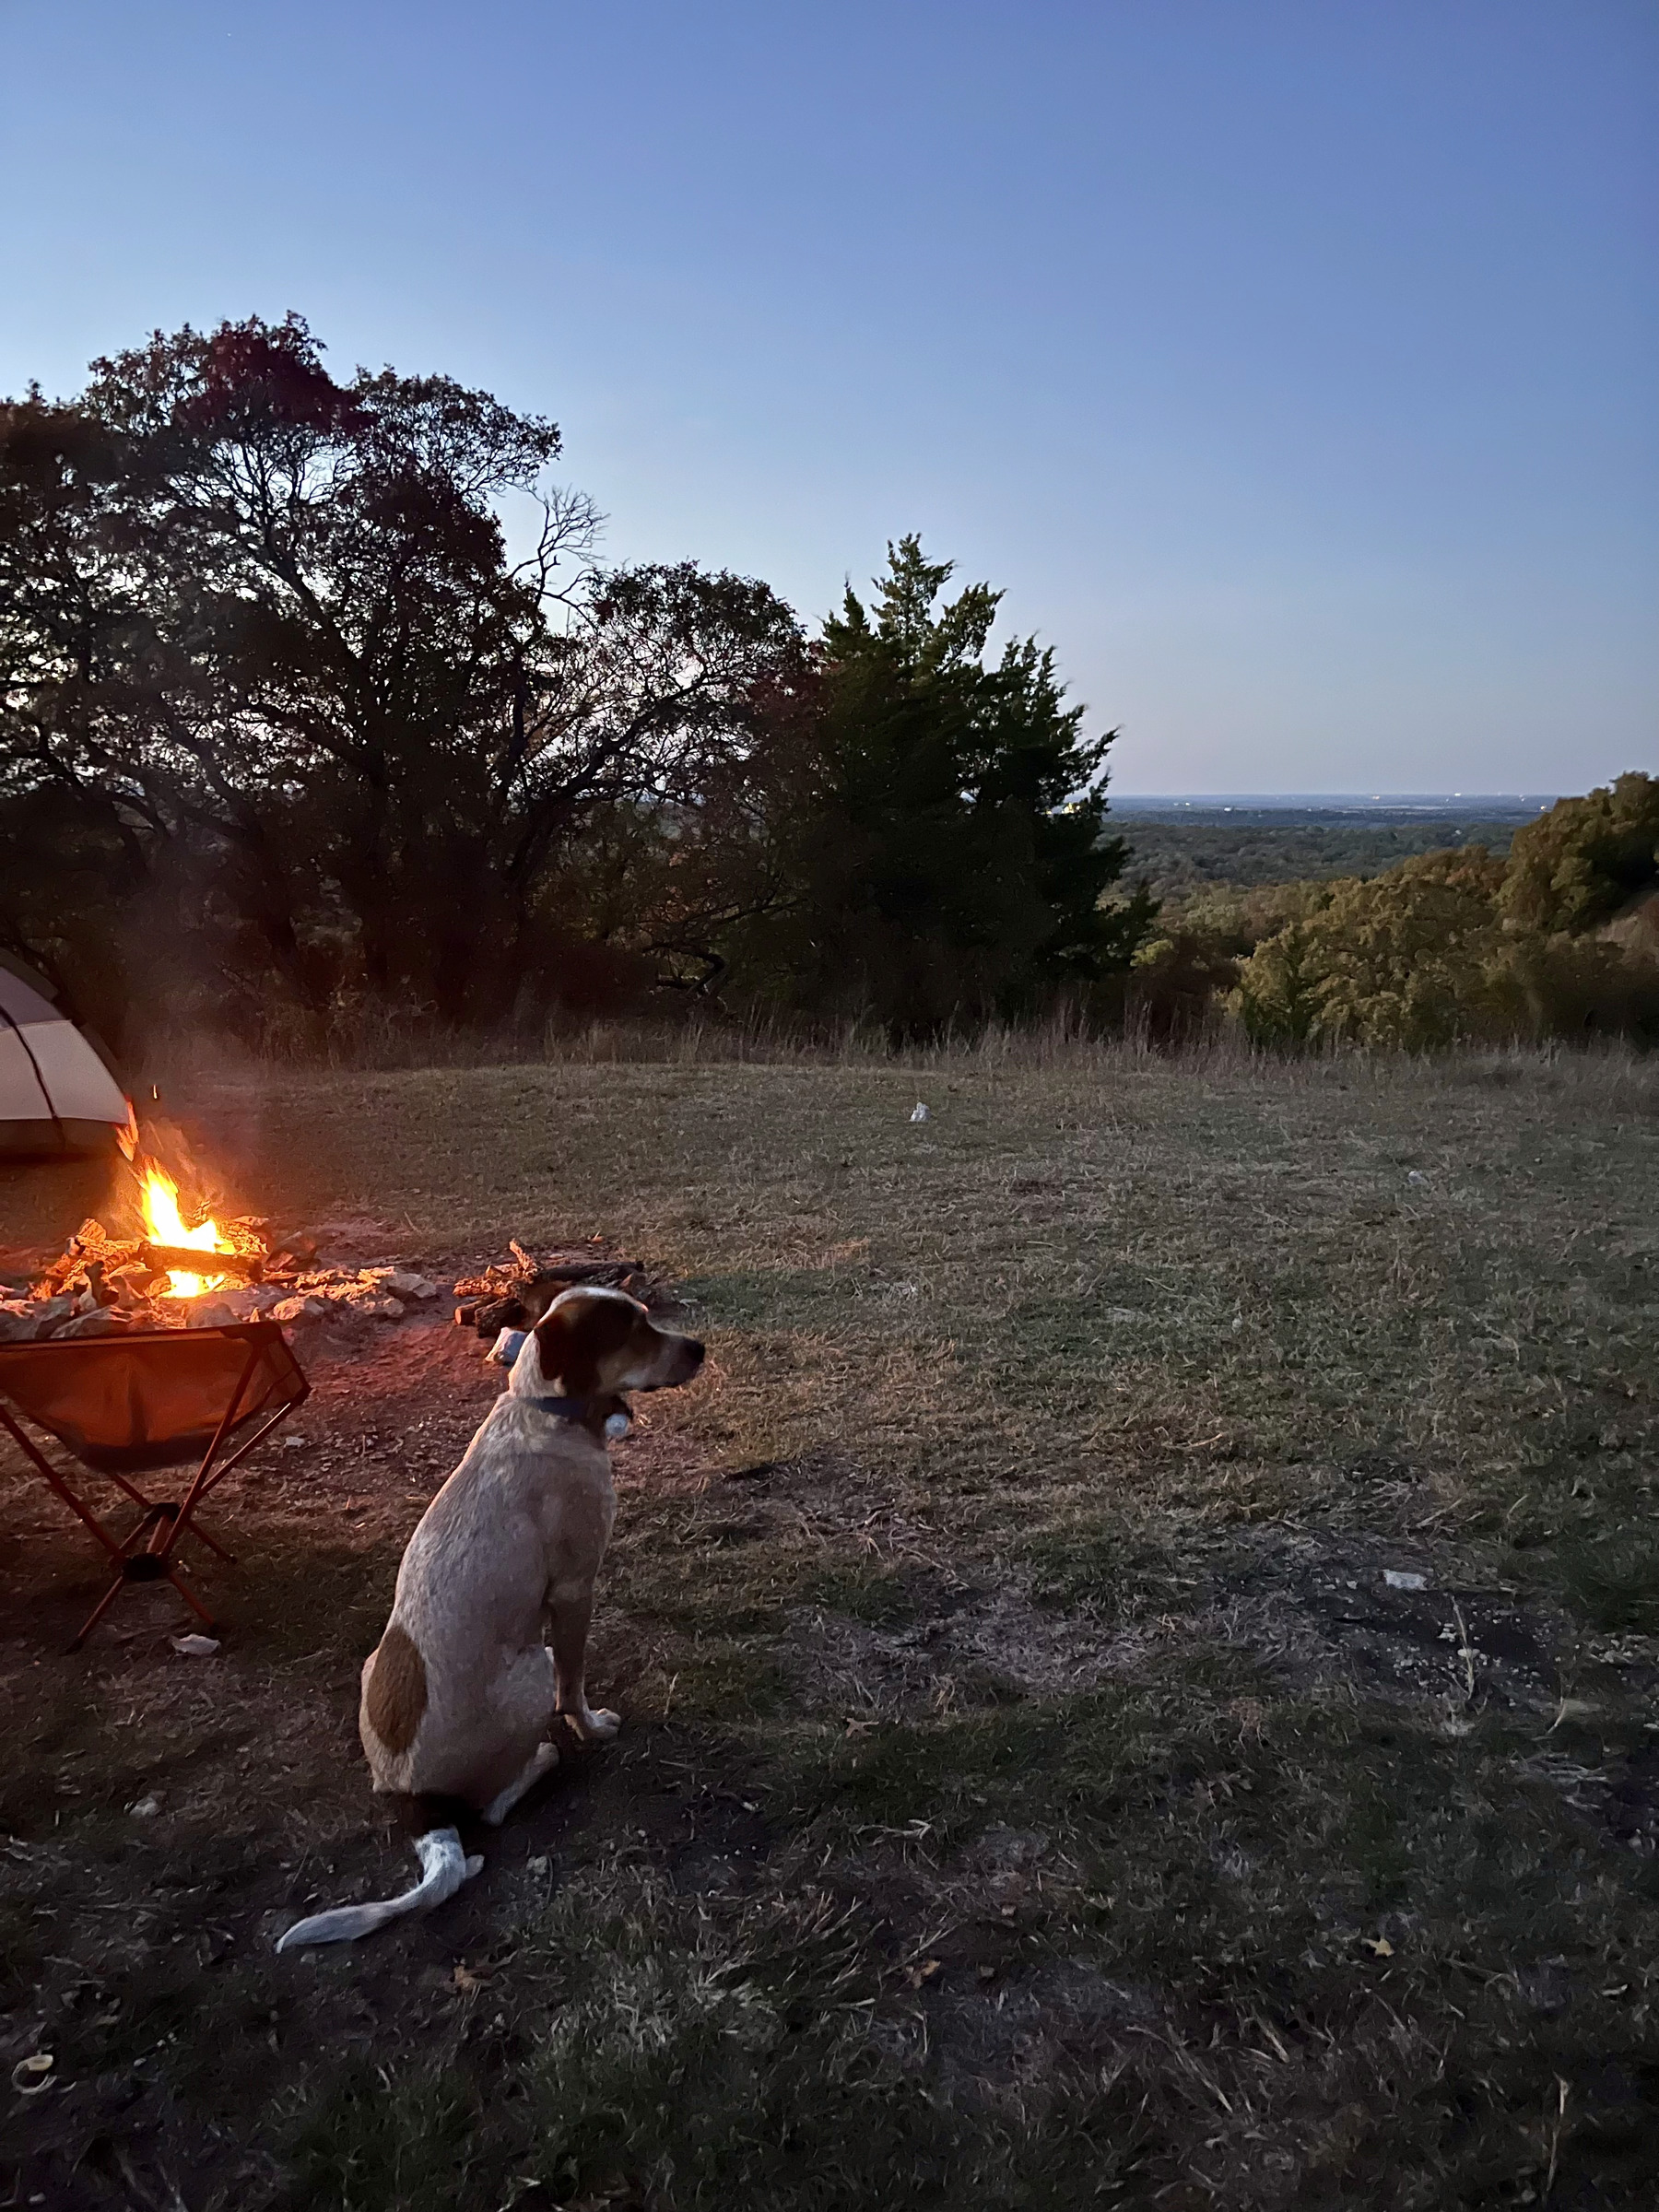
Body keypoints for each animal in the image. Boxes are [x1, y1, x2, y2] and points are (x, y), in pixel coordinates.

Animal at [276, 1291, 703, 1947]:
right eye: (633, 1329)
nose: (700, 1348)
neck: (546, 1413)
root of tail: (416, 1801)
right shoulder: (574, 1591)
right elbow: (575, 1689)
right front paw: (592, 1727)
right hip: (531, 1669)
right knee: (497, 1804)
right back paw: (545, 1757)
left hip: (376, 1665)